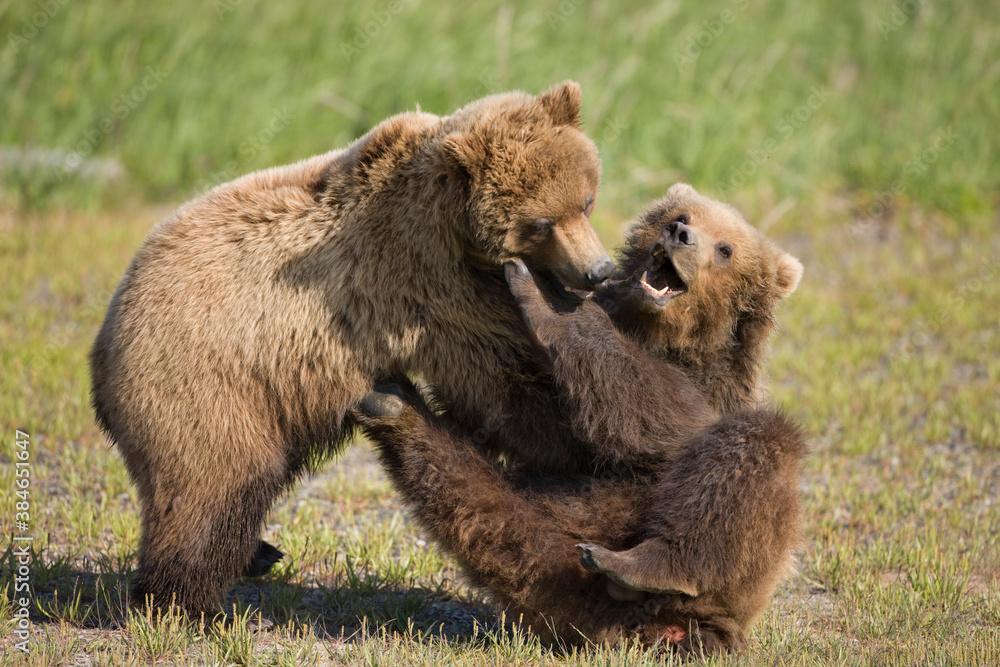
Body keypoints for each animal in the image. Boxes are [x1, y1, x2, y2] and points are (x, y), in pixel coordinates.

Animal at [89, 81, 619, 618]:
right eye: (540, 223)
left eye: (587, 200)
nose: (597, 270)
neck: (453, 227)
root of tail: (106, 339)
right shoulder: (436, 290)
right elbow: (500, 388)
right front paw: (577, 442)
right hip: (207, 384)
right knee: (211, 489)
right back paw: (183, 601)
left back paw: (253, 555)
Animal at [354, 184, 806, 653]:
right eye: (681, 216)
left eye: (725, 248)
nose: (679, 234)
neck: (661, 333)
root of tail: (654, 629)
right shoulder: (570, 413)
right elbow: (541, 424)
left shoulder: (714, 386)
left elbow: (667, 417)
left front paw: (551, 294)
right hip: (557, 555)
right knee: (488, 509)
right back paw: (392, 405)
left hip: (733, 579)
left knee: (755, 448)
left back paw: (640, 566)